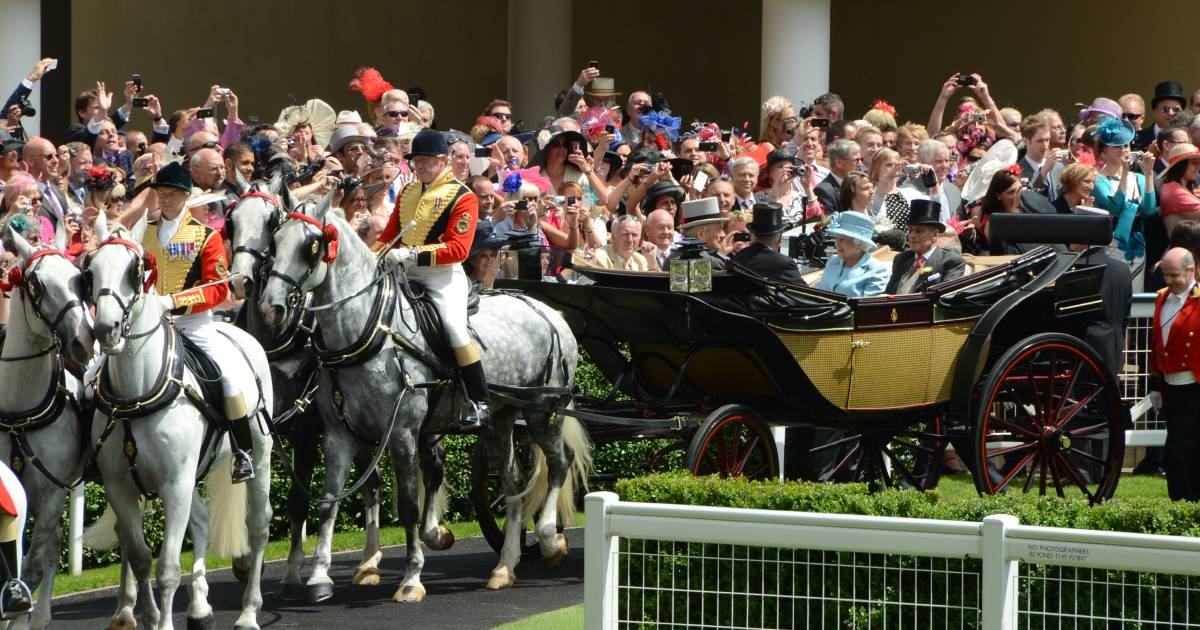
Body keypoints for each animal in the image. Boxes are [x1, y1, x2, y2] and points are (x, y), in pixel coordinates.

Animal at [88, 216, 274, 628]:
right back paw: (200, 608)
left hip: (259, 456)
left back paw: (248, 611)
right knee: (202, 521)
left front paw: (163, 621)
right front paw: (150, 614)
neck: (137, 393)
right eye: (89, 270)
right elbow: (141, 558)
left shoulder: (175, 482)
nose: (106, 330)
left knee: (258, 525)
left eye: (134, 270)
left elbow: (168, 567)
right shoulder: (121, 486)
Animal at [259, 200, 590, 600]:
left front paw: (411, 579)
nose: (271, 307)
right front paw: (320, 577)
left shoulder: (402, 433)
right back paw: (505, 566)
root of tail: (549, 312)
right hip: (501, 419)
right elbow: (327, 501)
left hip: (543, 412)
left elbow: (408, 506)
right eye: (274, 242)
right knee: (513, 482)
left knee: (559, 463)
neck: (371, 329)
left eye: (310, 246)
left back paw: (549, 539)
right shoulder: (338, 436)